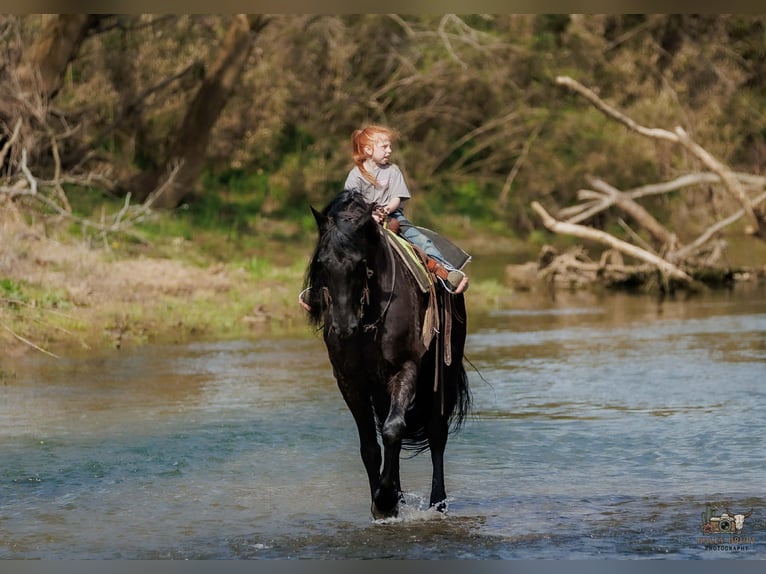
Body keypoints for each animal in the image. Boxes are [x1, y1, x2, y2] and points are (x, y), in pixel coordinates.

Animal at [303, 190, 470, 519]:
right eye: (322, 263)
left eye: (360, 263)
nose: (343, 328)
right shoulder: (350, 381)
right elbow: (371, 445)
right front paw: (386, 501)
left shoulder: (405, 368)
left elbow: (394, 430)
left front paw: (385, 499)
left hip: (442, 373)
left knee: (436, 433)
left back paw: (438, 502)